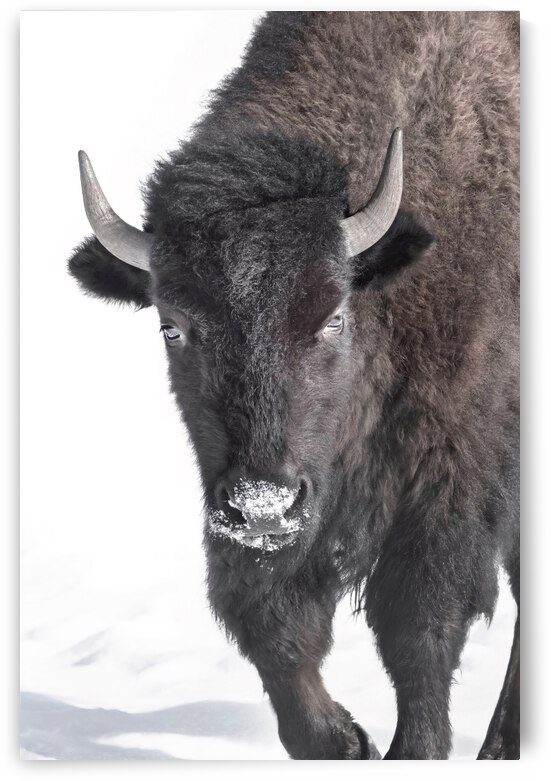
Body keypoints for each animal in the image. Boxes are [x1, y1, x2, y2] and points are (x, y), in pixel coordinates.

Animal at [68, 11, 519, 759]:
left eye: (332, 315)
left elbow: (419, 622)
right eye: (172, 325)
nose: (262, 505)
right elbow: (270, 624)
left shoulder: (448, 473)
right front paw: (344, 739)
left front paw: (412, 750)